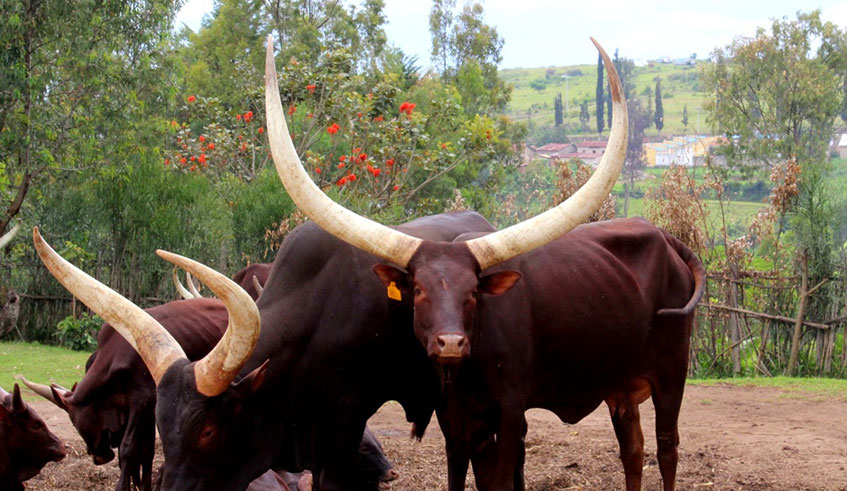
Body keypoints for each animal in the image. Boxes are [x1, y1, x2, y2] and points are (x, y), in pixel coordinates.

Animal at [21, 297, 399, 491]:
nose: (99, 457)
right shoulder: (148, 406)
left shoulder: (144, 398)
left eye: (81, 420)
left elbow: (132, 449)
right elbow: (144, 451)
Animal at [267, 35, 704, 491]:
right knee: (632, 449)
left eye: (473, 292)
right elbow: (459, 476)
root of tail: (665, 236)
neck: (468, 370)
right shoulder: (454, 419)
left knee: (667, 446)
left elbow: (500, 478)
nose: (450, 343)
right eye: (418, 290)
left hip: (672, 372)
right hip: (620, 383)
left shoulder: (511, 411)